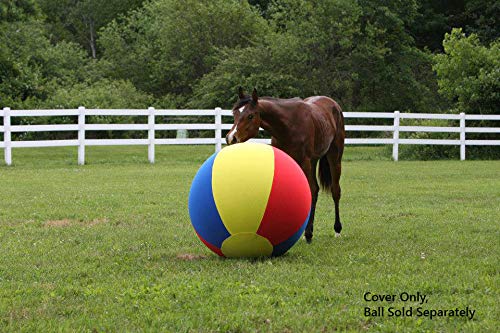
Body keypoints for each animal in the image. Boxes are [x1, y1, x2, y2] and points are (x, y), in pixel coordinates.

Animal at [226, 87, 346, 243]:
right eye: (234, 113)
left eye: (250, 116)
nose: (231, 138)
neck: (288, 125)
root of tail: (334, 105)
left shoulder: (304, 162)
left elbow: (308, 192)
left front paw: (306, 233)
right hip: (314, 161)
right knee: (316, 190)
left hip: (334, 157)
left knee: (334, 191)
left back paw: (335, 230)